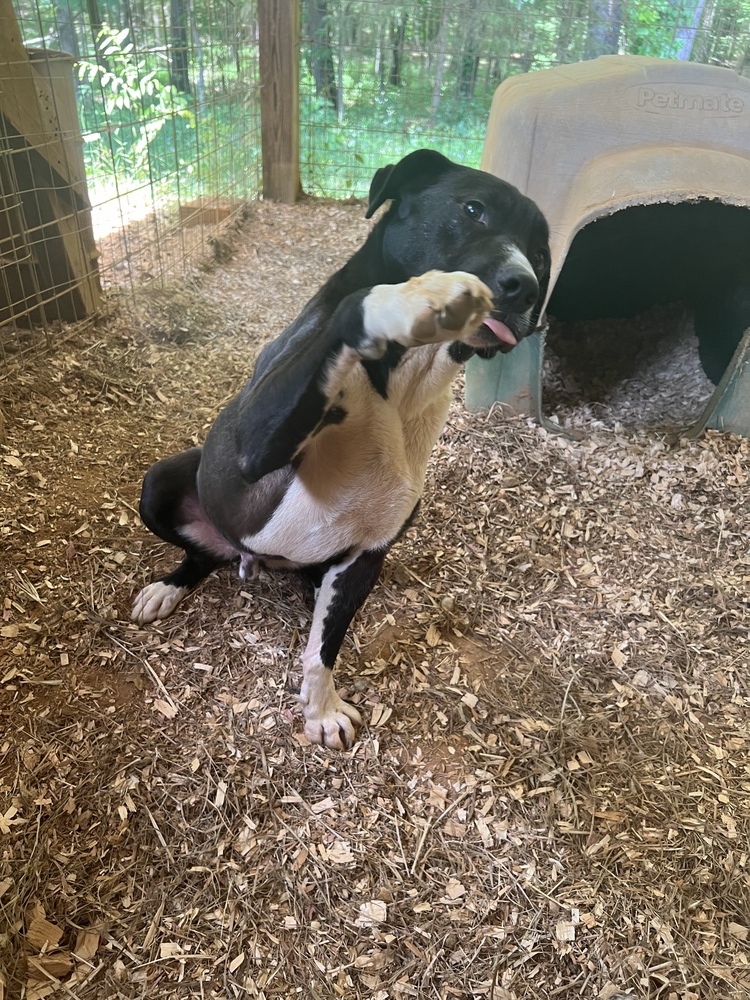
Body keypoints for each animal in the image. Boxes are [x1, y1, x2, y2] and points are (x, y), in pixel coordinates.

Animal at [131, 150, 552, 752]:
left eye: (541, 249)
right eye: (474, 209)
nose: (525, 286)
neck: (404, 381)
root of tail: (251, 561)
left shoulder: (367, 552)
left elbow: (324, 648)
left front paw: (321, 710)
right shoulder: (253, 453)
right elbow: (359, 304)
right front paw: (417, 298)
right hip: (161, 483)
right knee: (202, 552)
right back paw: (167, 589)